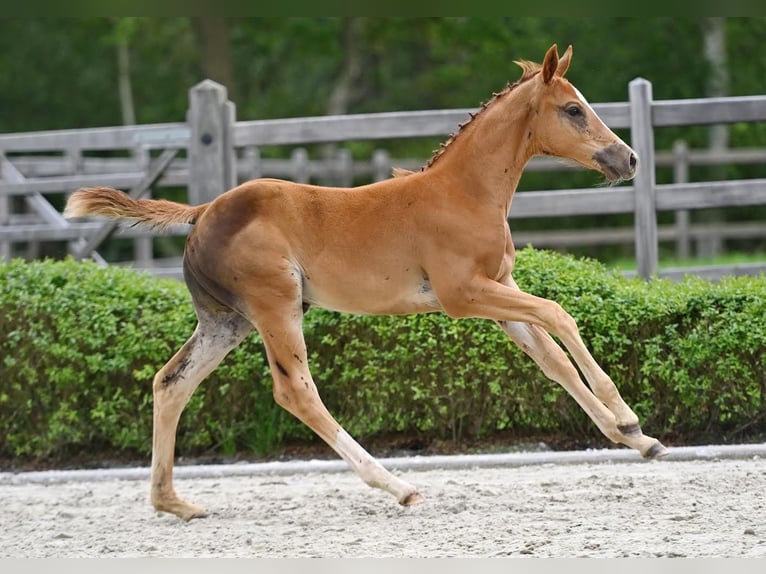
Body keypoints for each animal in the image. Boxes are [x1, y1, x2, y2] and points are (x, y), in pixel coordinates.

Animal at [64, 45, 664, 520]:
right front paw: (628, 416)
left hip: (226, 322)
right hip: (276, 306)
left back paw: (173, 502)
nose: (629, 158)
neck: (463, 194)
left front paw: (638, 439)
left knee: (171, 383)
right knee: (295, 391)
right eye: (573, 109)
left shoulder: (499, 292)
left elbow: (553, 360)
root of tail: (204, 210)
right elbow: (560, 315)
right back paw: (398, 486)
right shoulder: (464, 295)